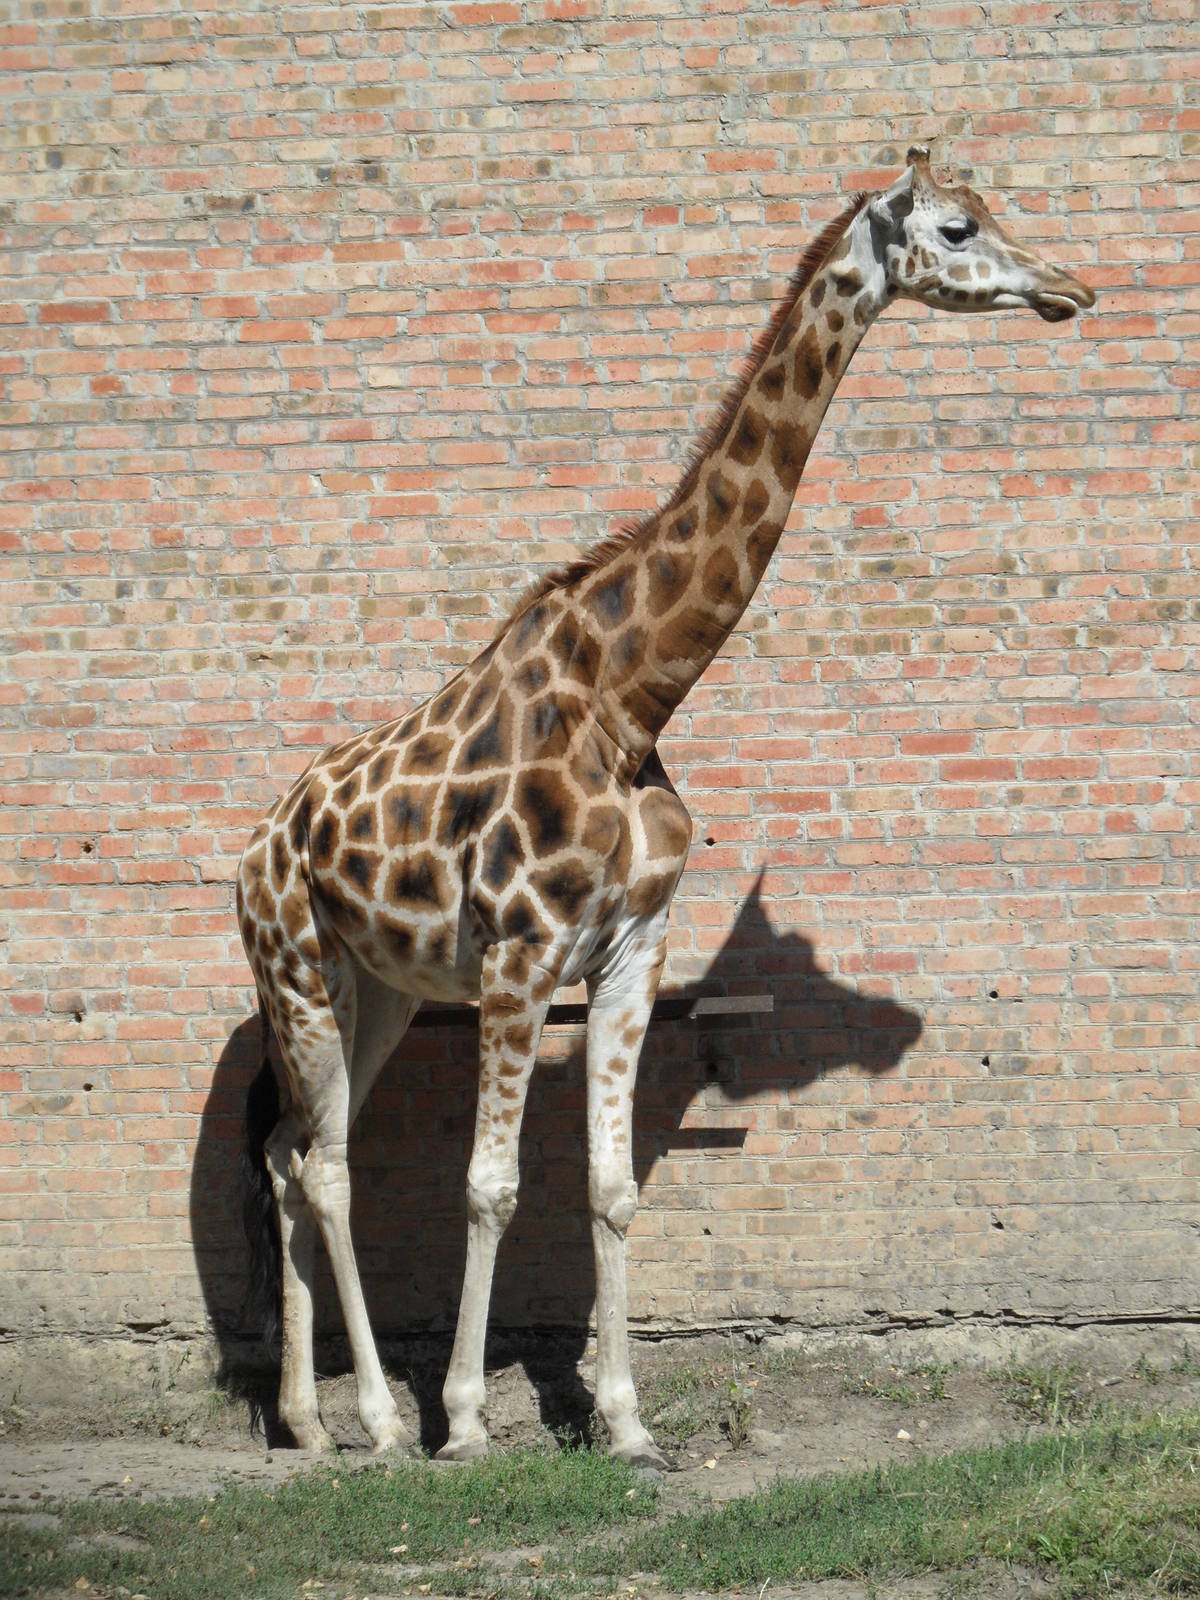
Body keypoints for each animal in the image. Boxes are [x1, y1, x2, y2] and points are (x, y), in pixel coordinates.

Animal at [236, 148, 1093, 1468]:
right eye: (959, 227)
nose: (1069, 287)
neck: (631, 692)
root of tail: (250, 853)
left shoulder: (631, 947)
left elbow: (611, 1184)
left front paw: (627, 1422)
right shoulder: (522, 950)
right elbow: (491, 1186)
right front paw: (468, 1422)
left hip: (377, 988)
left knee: (294, 1149)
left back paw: (310, 1421)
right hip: (292, 969)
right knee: (323, 1164)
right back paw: (382, 1419)